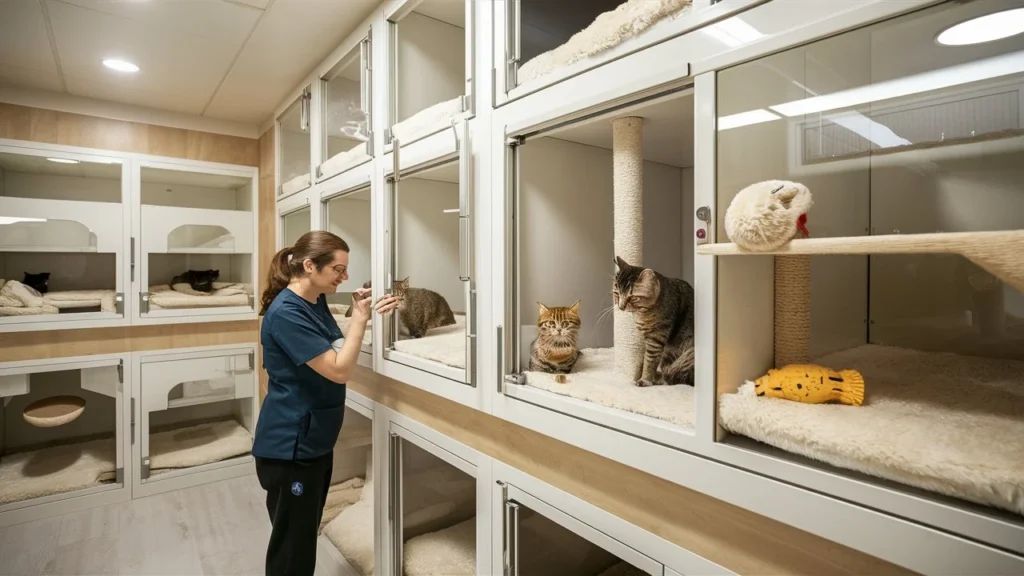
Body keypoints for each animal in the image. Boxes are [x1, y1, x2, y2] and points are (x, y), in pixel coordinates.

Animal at [614, 255, 696, 385]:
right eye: (617, 293)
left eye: (633, 298)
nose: (621, 307)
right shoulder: (645, 338)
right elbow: (642, 359)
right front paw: (636, 375)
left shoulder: (656, 338)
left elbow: (649, 362)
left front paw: (644, 379)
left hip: (688, 355)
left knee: (672, 375)